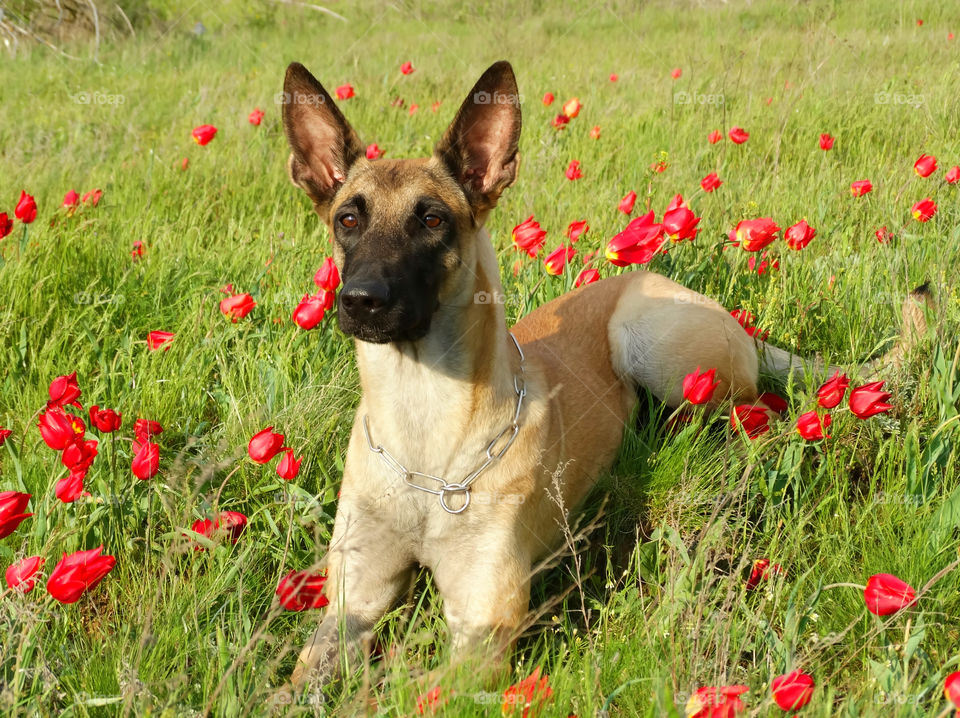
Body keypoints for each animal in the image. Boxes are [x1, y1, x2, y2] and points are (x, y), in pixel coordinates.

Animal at [280, 59, 928, 688]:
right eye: (347, 220)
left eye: (433, 219)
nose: (360, 301)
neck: (424, 442)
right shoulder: (354, 599)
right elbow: (301, 678)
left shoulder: (483, 628)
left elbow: (406, 694)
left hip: (654, 344)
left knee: (758, 416)